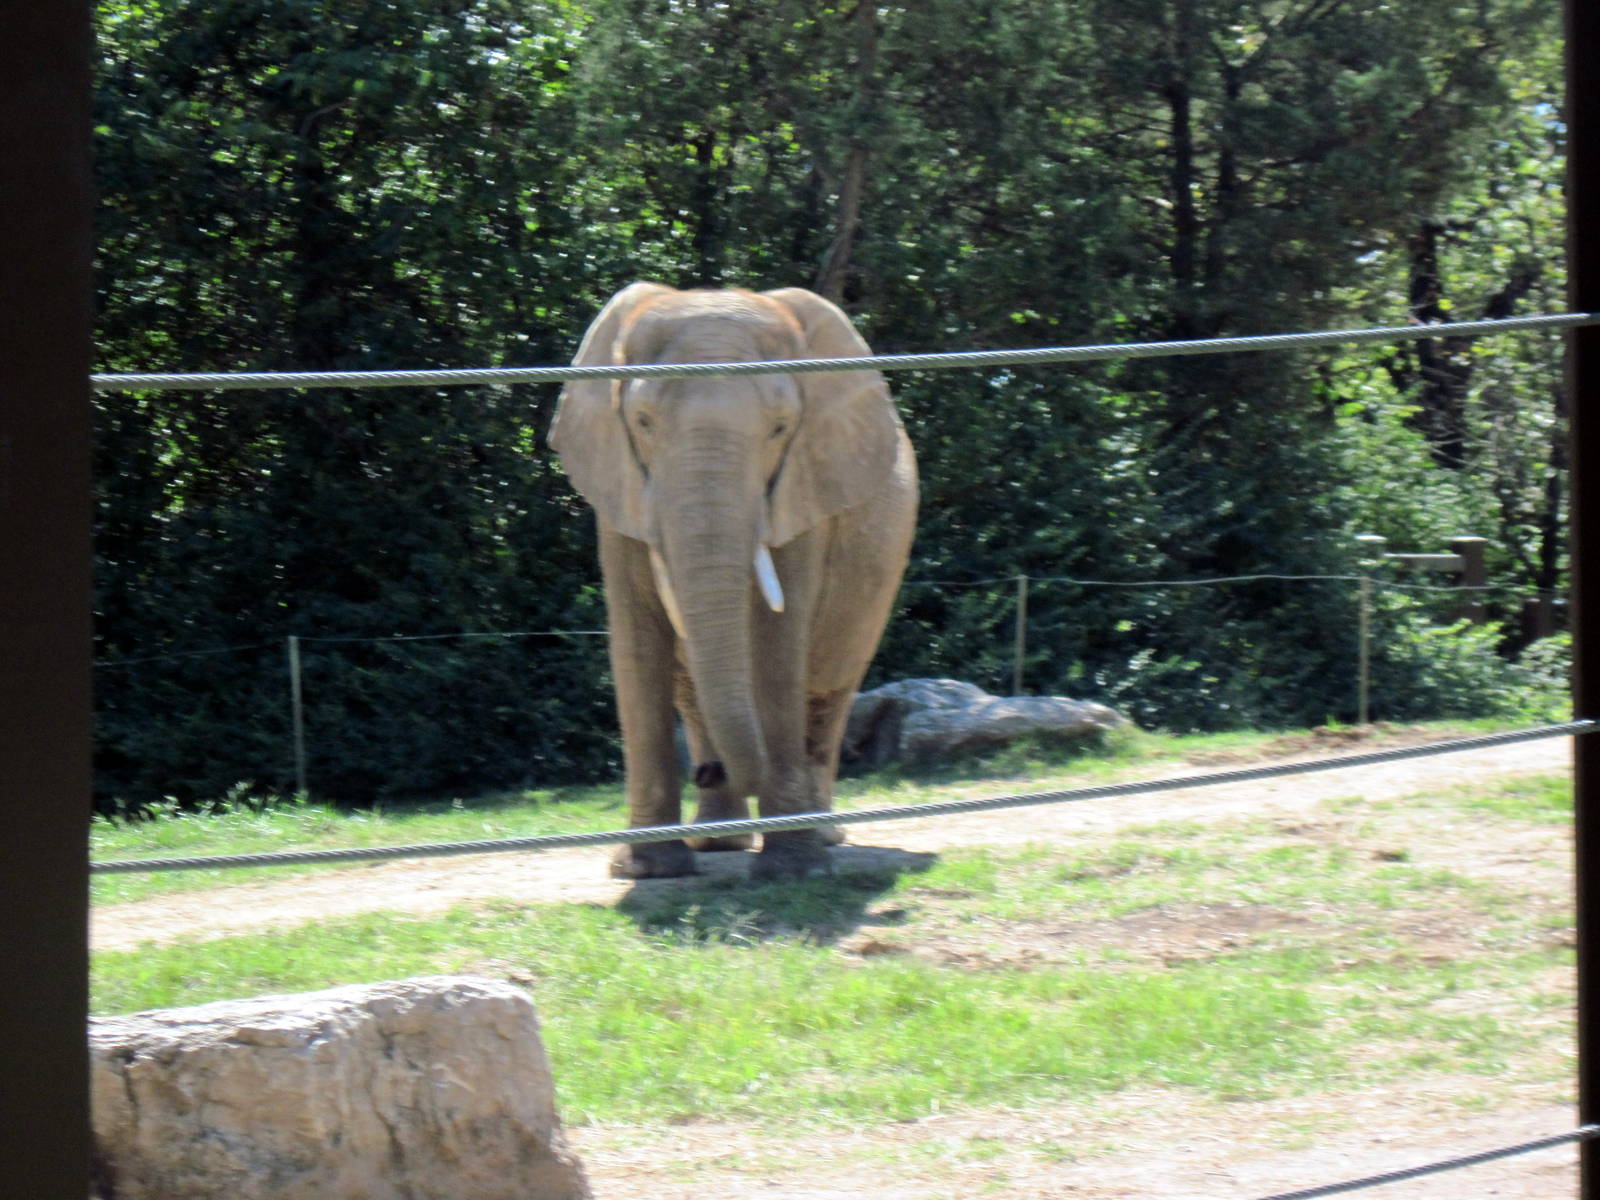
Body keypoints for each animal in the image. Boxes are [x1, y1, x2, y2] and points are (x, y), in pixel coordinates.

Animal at [549, 283, 918, 881]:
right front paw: (646, 871)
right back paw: (718, 842)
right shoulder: (618, 486)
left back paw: (821, 836)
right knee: (693, 691)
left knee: (829, 686)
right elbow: (636, 638)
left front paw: (794, 870)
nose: (708, 770)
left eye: (780, 428)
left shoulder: (803, 486)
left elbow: (777, 642)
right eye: (643, 421)